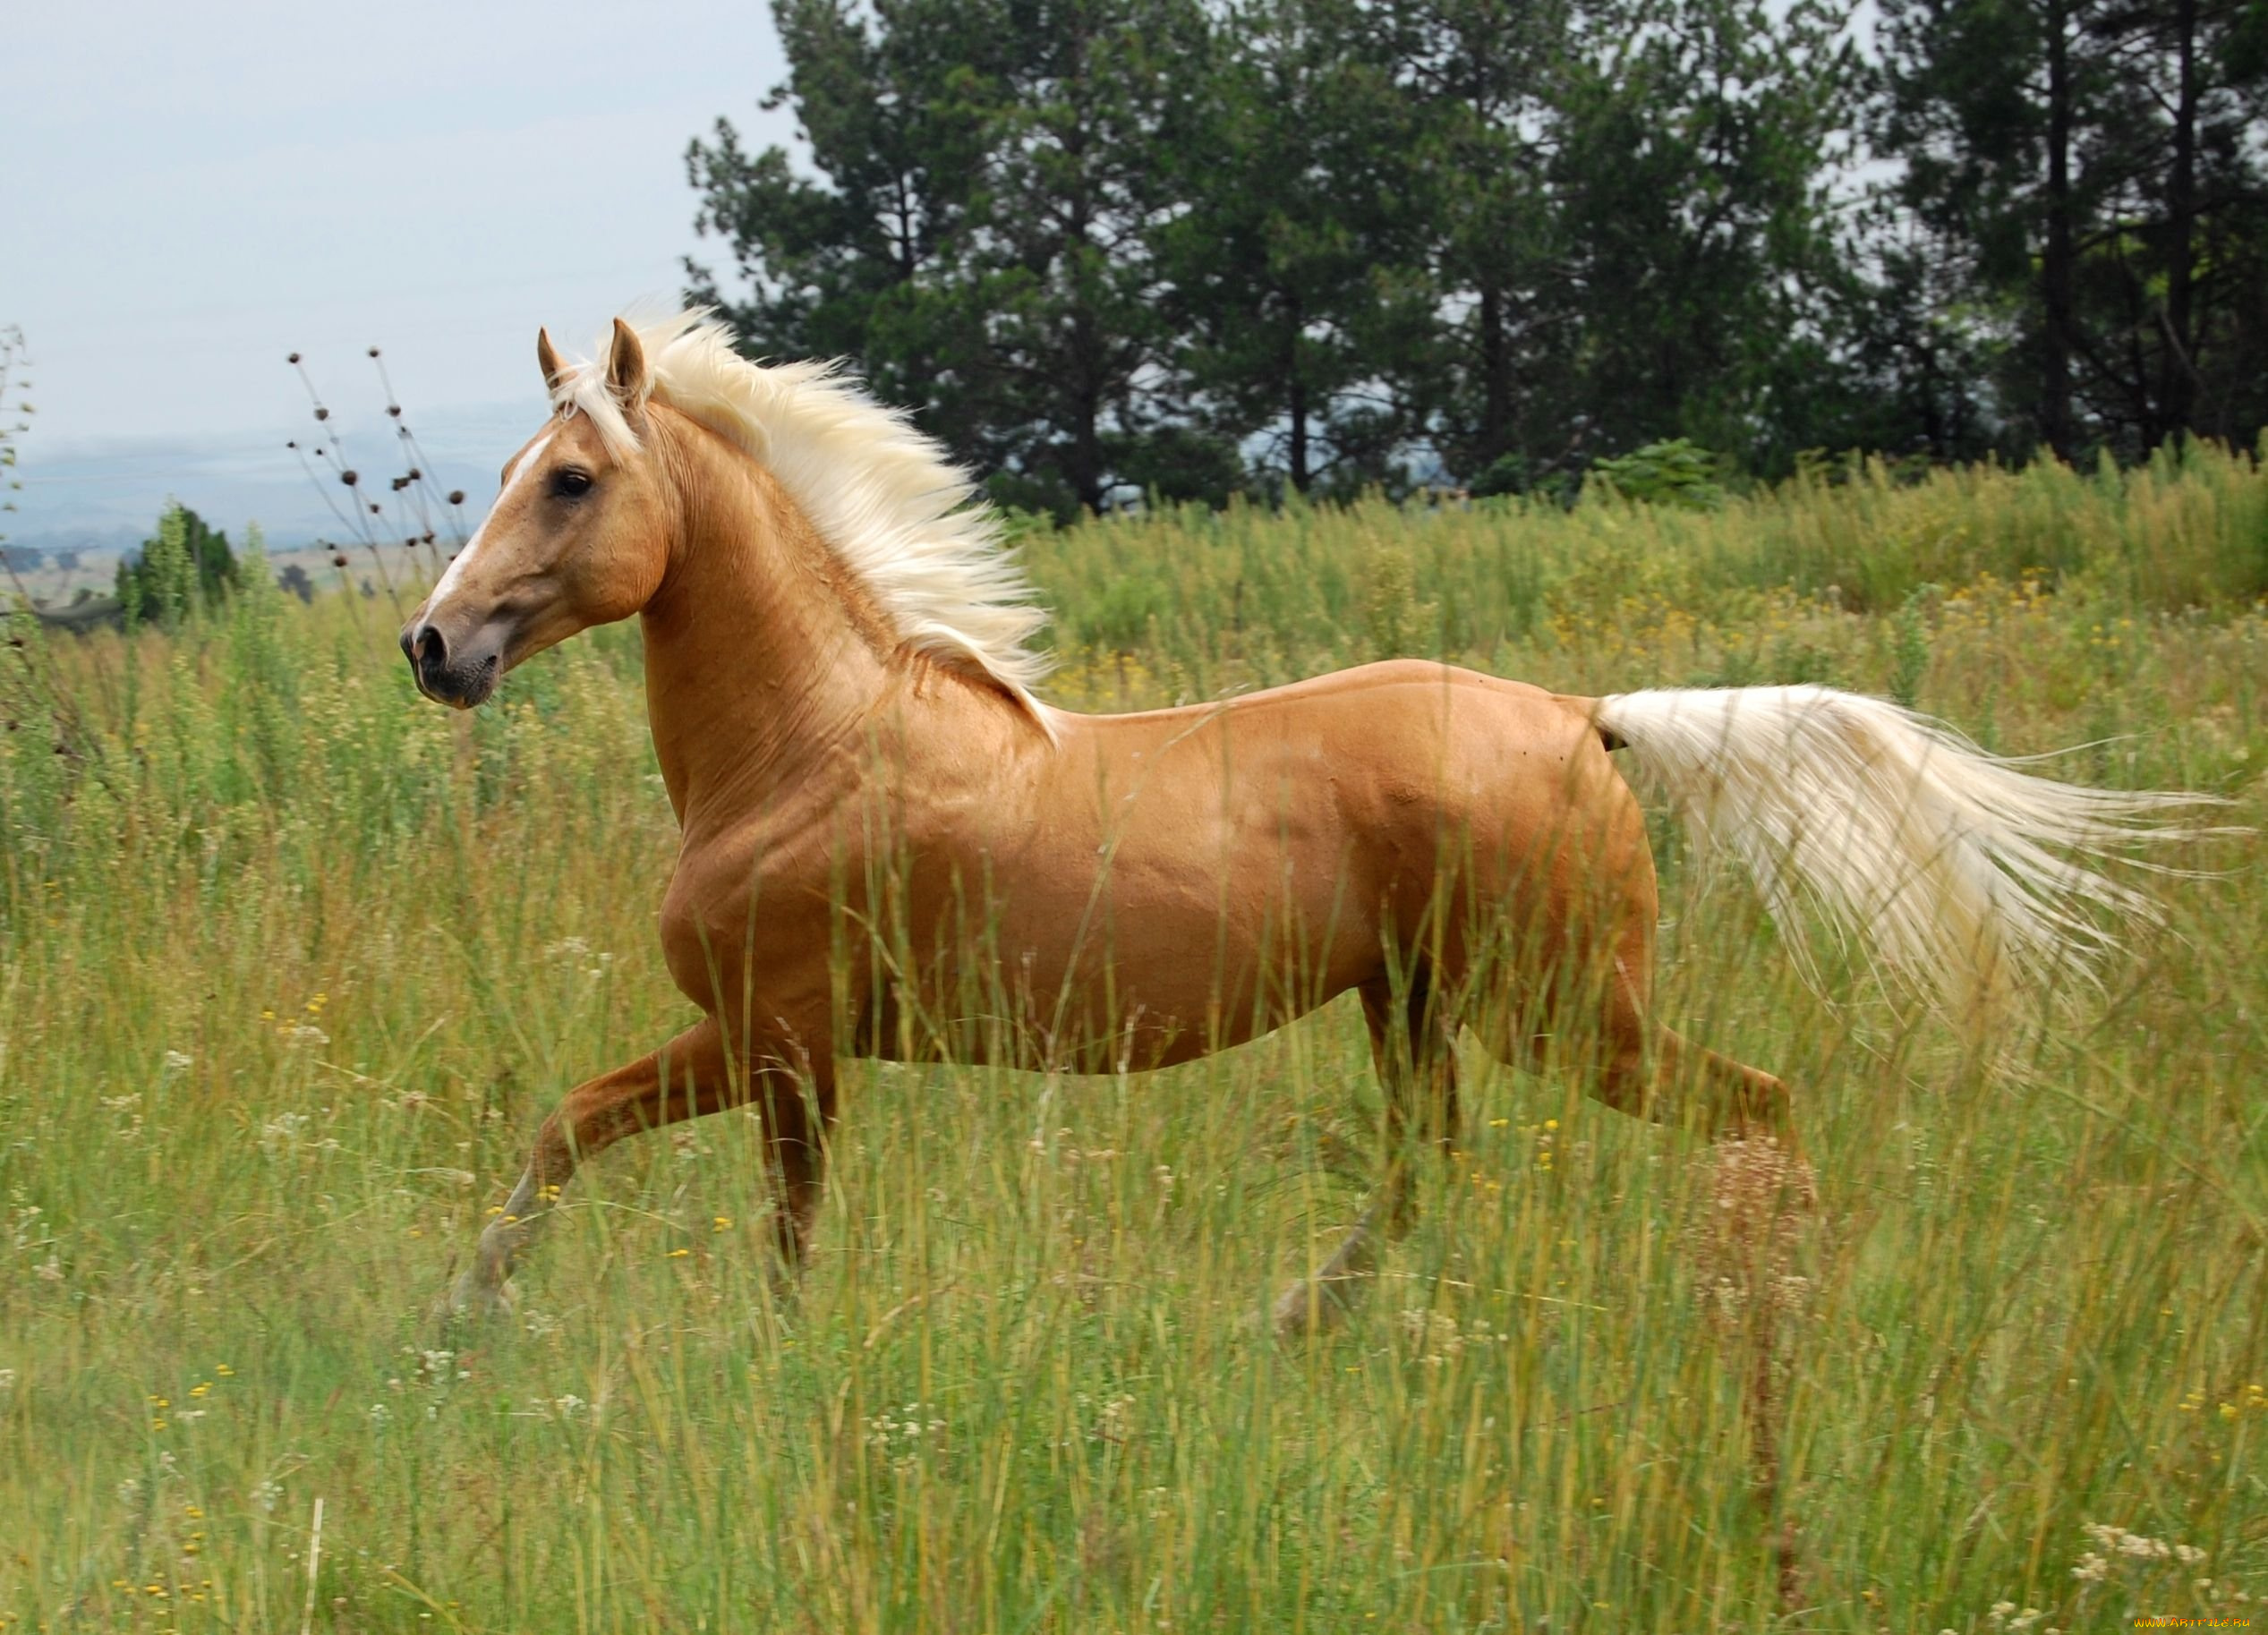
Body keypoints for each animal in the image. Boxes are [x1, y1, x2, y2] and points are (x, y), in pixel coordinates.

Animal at [404, 308, 2195, 1324]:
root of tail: (1583, 717)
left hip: (1558, 1009)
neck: (815, 745)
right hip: (1411, 1004)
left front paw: (513, 1319)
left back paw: (1775, 1301)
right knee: (1425, 1175)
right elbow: (567, 1129)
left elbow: (740, 1215)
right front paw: (466, 1310)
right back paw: (1289, 1317)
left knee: (1756, 1105)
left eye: (571, 481)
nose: (435, 644)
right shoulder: (770, 1043)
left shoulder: (782, 1038)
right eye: (505, 470)